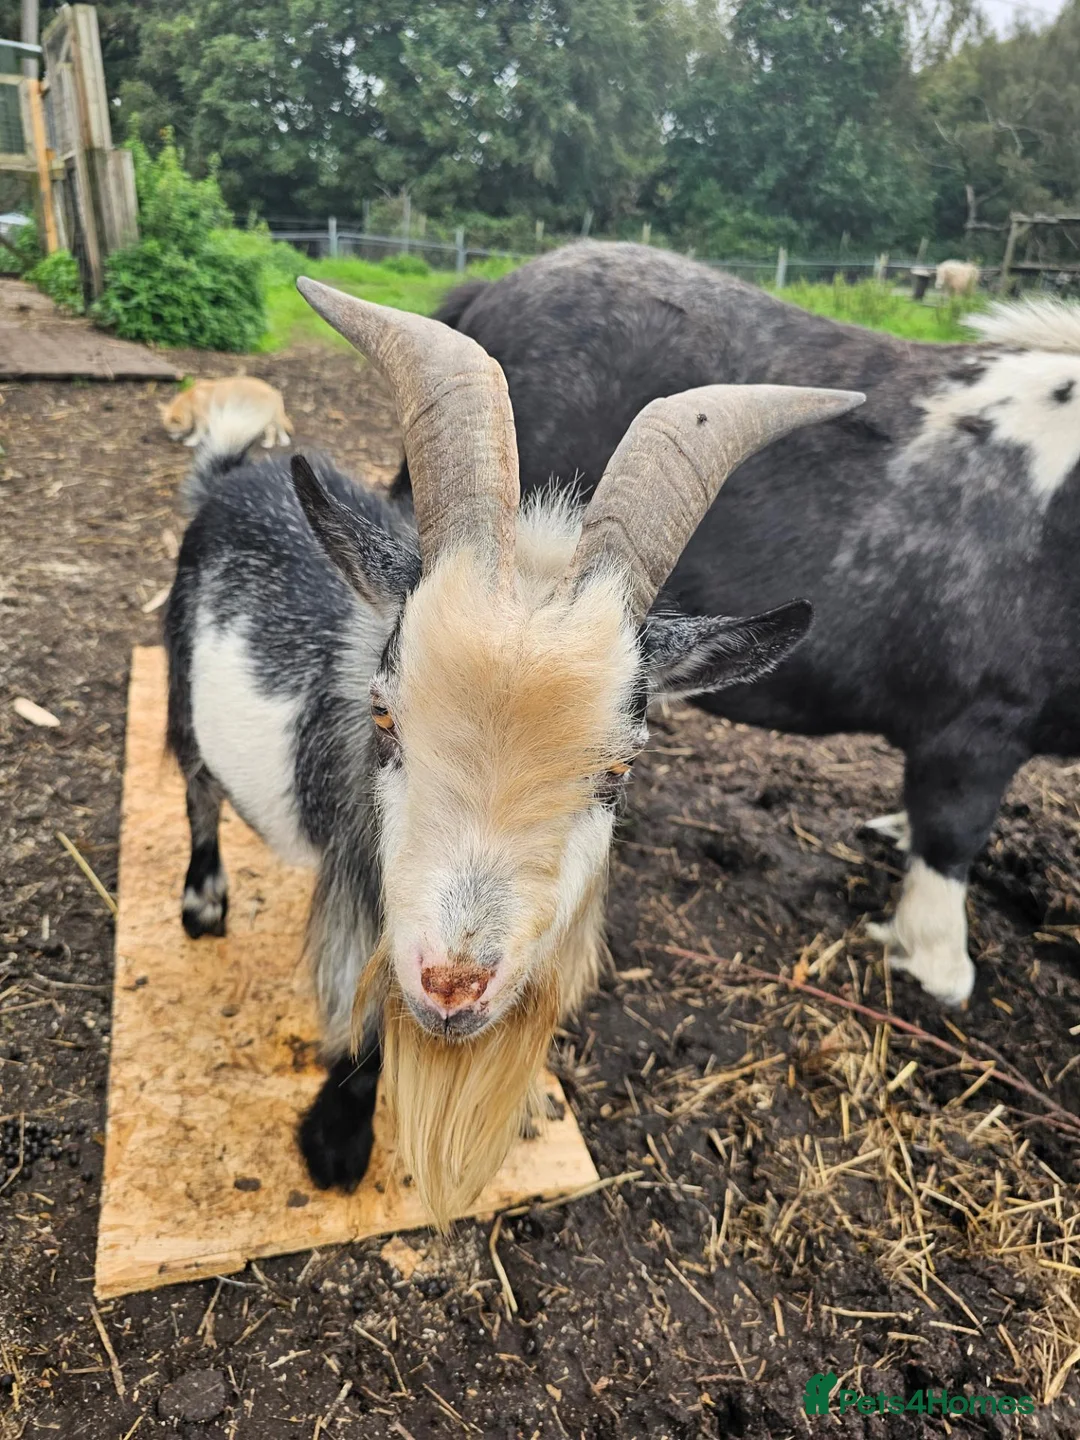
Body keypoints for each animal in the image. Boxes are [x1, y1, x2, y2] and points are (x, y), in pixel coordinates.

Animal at [164, 280, 861, 1225]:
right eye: (384, 720)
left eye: (619, 768)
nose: (454, 985)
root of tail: (235, 475)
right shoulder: (358, 889)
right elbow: (360, 1010)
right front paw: (336, 1144)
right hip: (178, 678)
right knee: (196, 785)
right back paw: (204, 905)